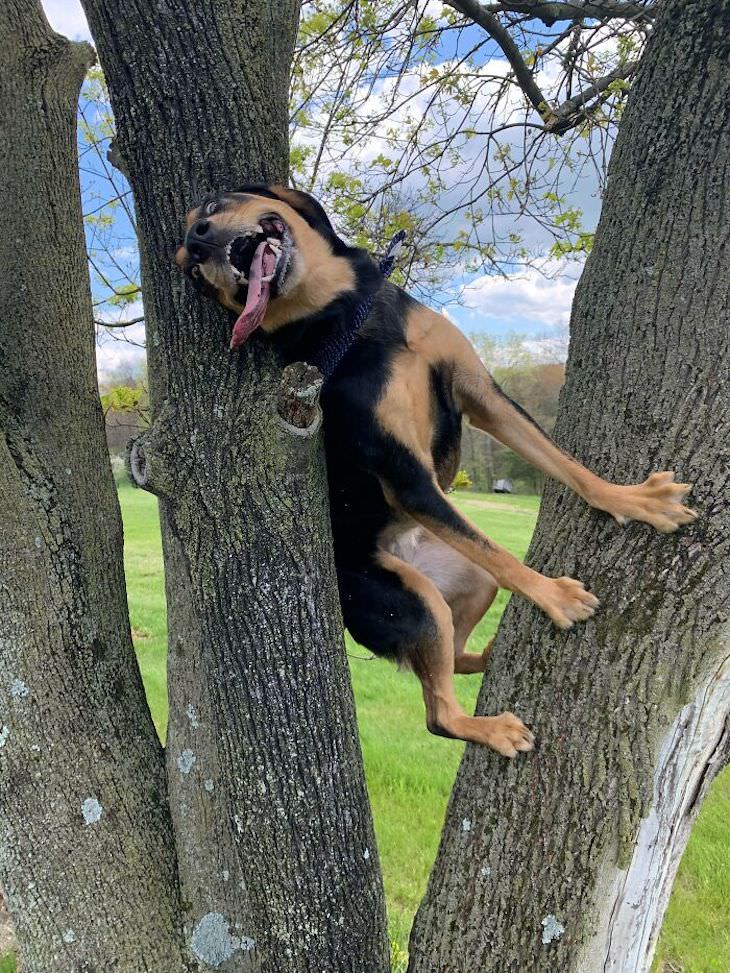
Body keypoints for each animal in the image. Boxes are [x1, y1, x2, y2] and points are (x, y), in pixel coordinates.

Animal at [176, 184, 692, 760]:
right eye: (193, 273)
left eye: (213, 207)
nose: (198, 242)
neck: (347, 313)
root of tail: (402, 553)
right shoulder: (407, 476)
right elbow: (506, 554)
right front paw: (553, 595)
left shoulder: (481, 393)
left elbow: (563, 464)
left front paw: (632, 501)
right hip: (415, 603)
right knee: (438, 715)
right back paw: (491, 727)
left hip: (465, 580)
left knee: (457, 654)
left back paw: (488, 656)